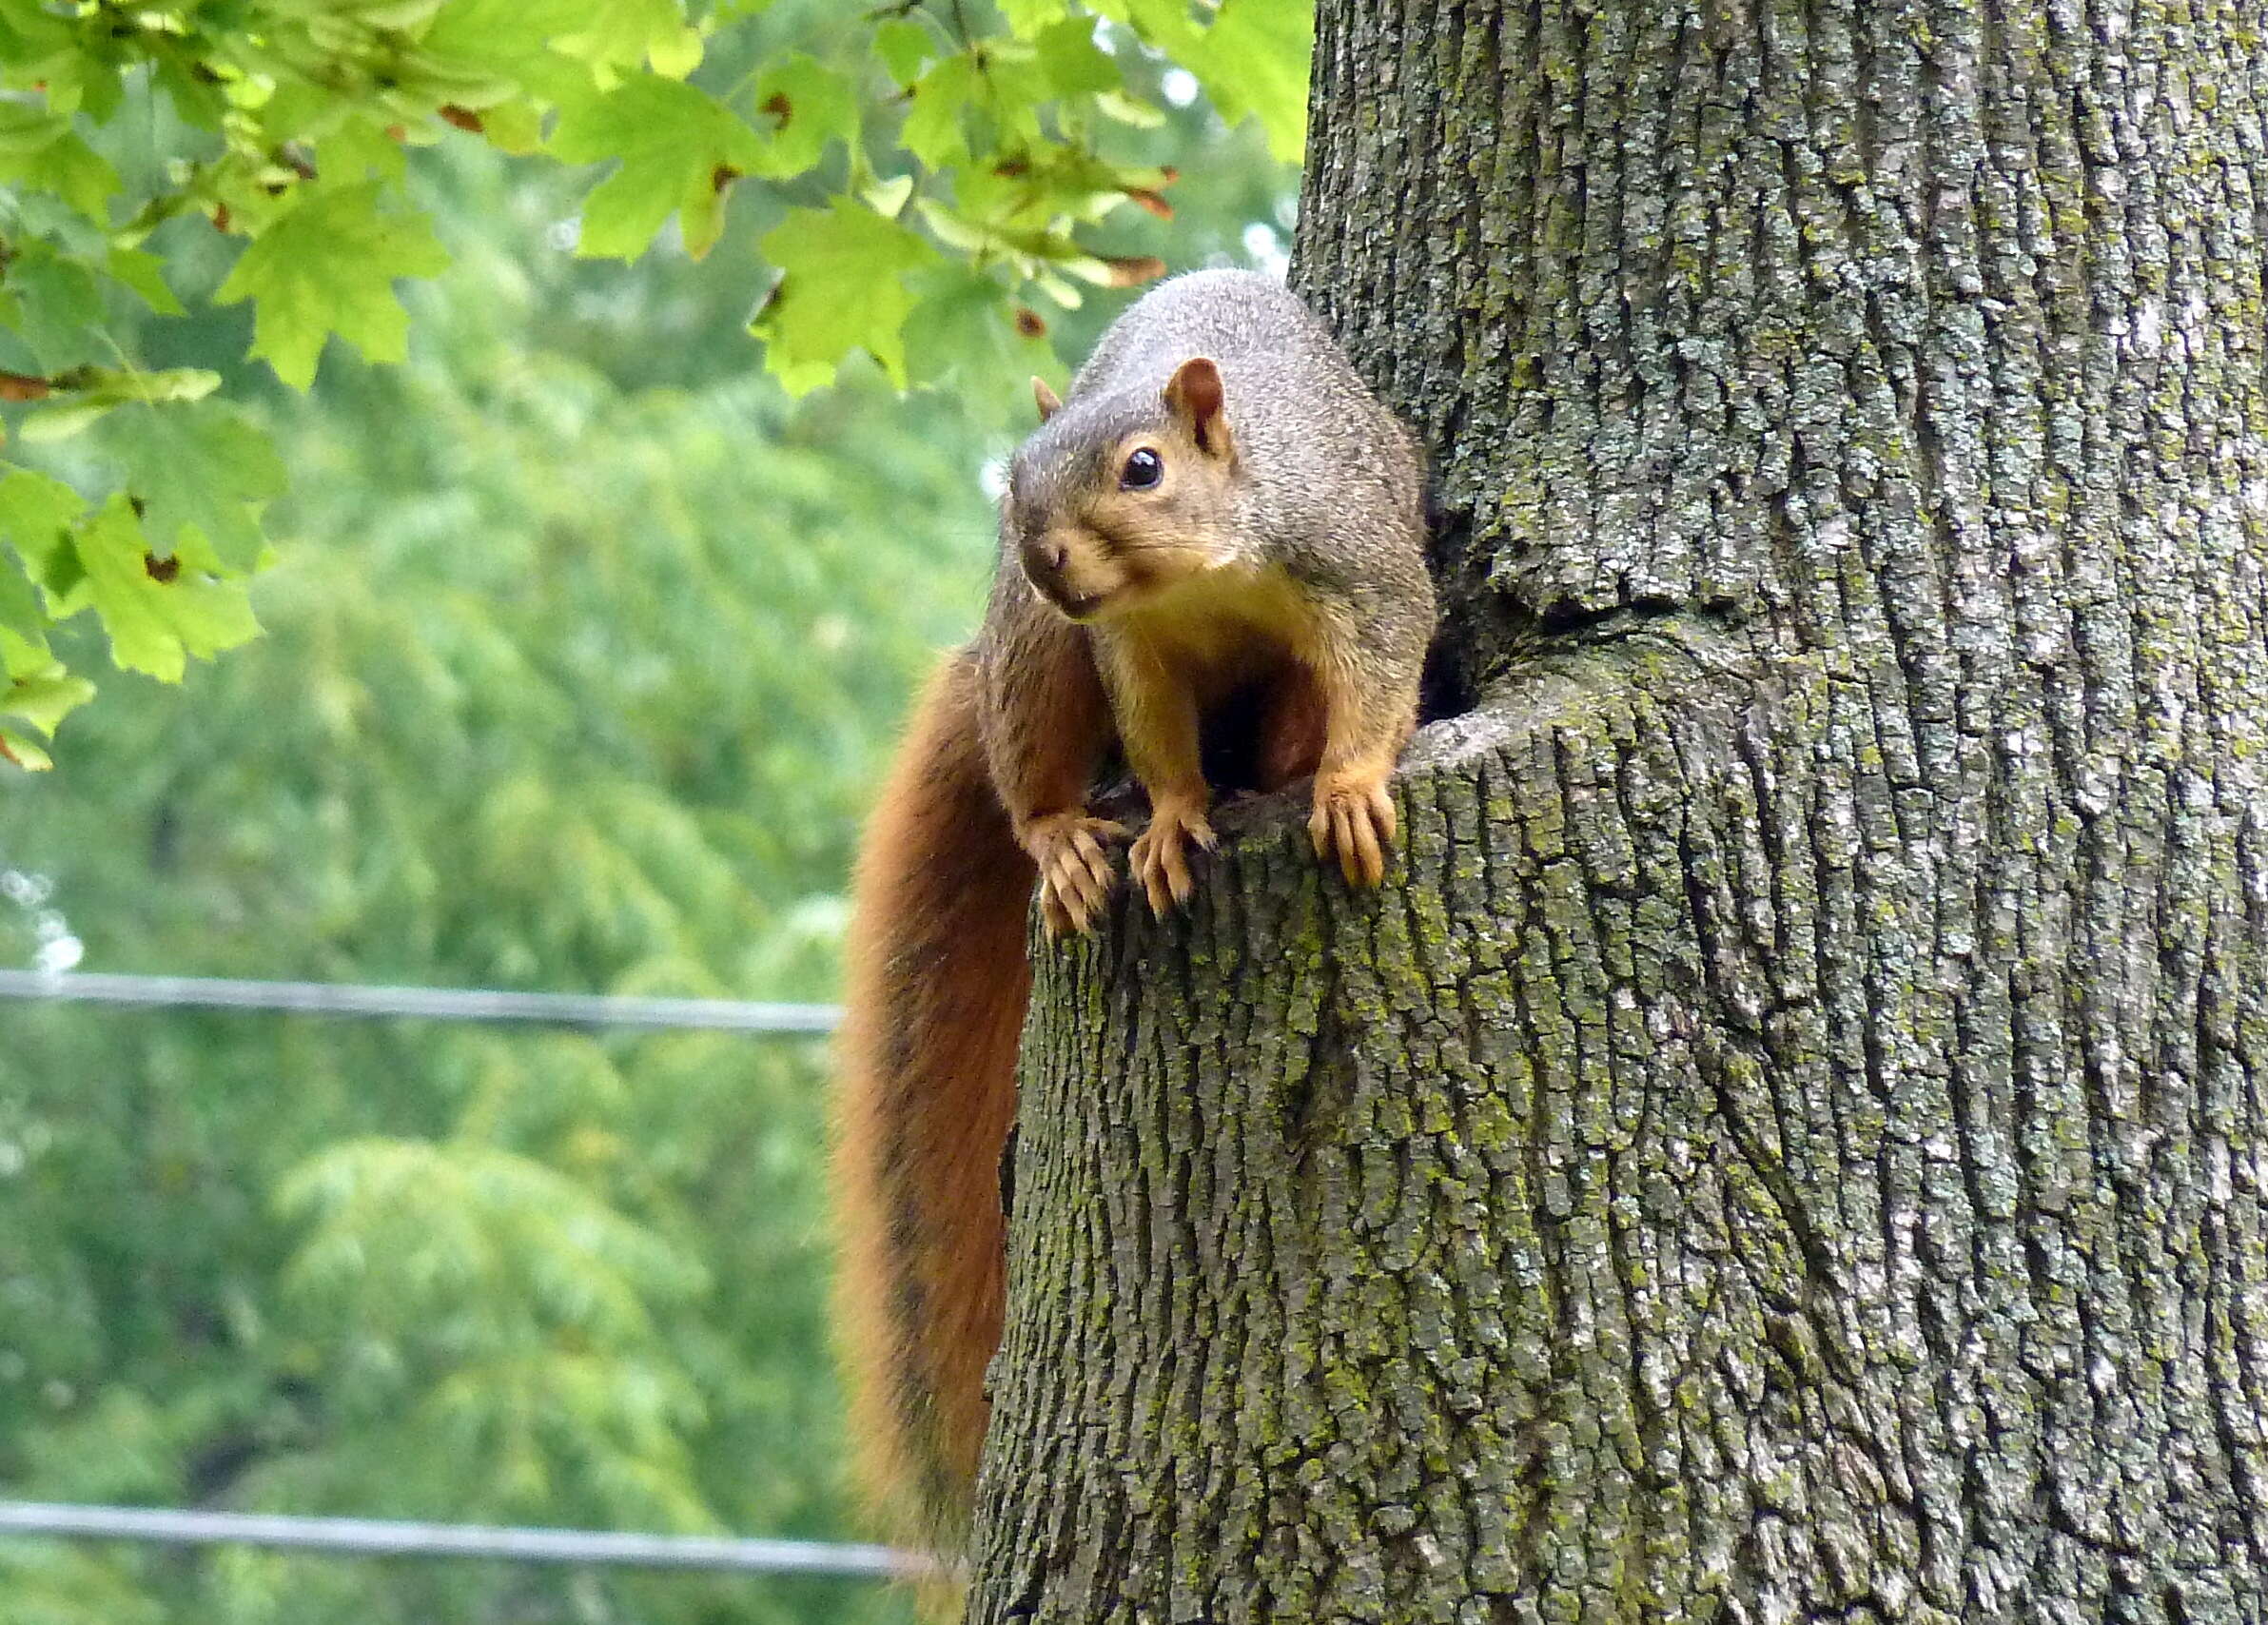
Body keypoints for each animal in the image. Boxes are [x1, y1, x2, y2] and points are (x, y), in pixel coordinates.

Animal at [834, 266, 1433, 1552]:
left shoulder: (1351, 563)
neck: (1198, 582)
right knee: (1030, 751)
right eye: (1014, 475)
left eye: (1143, 469)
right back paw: (1064, 840)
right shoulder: (1127, 656)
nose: (1045, 554)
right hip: (1028, 647)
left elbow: (1378, 668)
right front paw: (1163, 828)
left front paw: (1349, 788)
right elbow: (1157, 748)